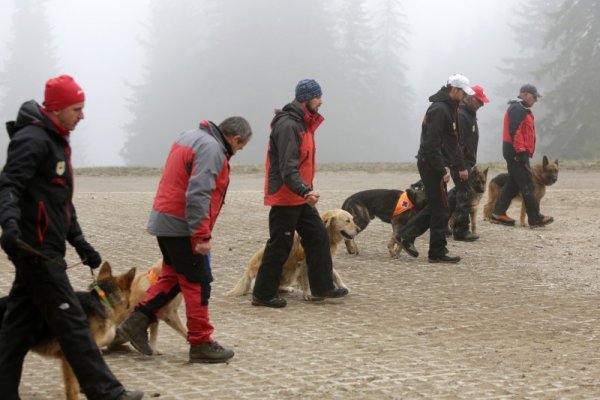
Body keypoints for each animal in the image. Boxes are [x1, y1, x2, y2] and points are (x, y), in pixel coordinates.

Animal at [225, 209, 356, 300]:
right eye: (347, 221)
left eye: (352, 219)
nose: (358, 229)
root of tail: (248, 271)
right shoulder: (304, 263)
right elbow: (305, 280)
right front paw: (307, 294)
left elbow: (335, 274)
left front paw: (343, 287)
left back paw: (287, 289)